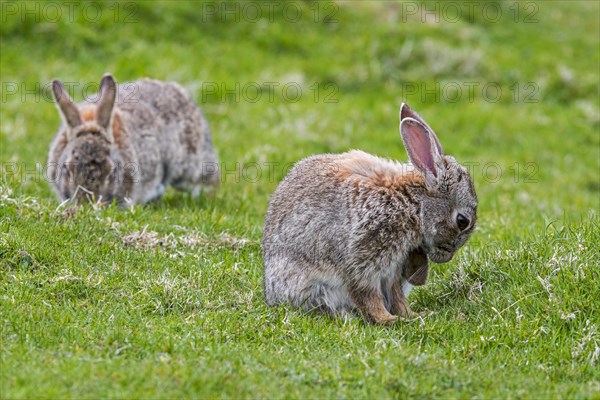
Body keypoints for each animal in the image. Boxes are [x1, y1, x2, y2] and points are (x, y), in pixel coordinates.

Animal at [262, 103, 478, 324]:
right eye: (462, 221)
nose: (447, 256)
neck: (412, 203)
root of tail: (271, 293)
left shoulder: (394, 268)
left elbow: (396, 296)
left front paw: (414, 315)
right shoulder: (363, 258)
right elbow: (367, 295)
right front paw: (388, 319)